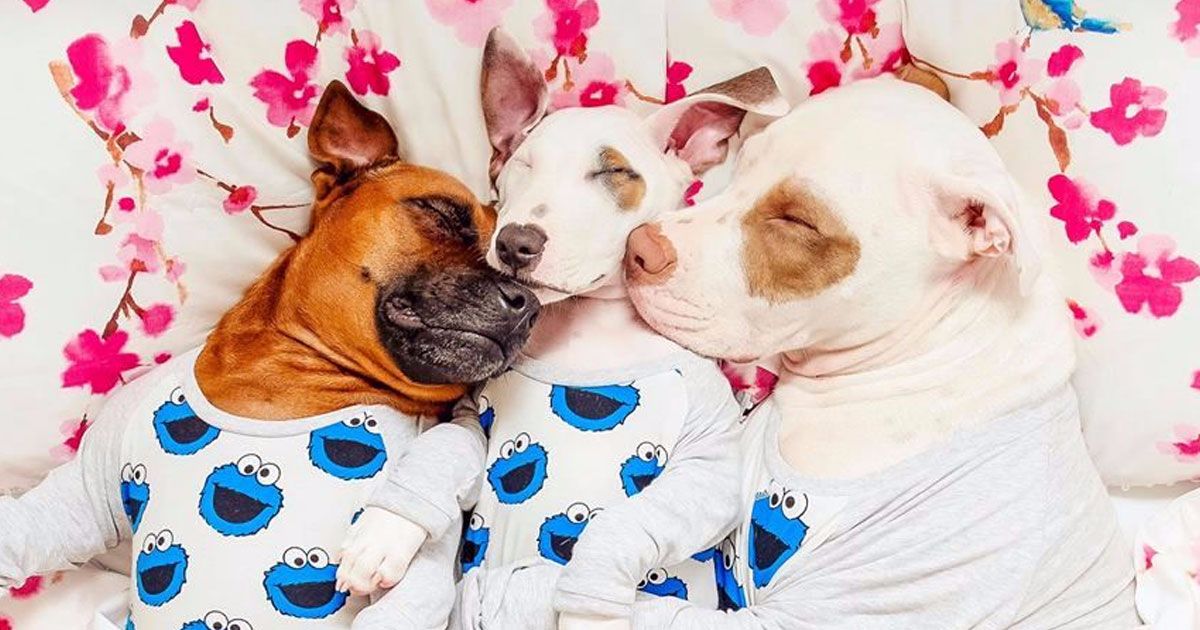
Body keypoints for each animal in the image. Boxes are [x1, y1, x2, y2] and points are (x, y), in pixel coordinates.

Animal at [0, 81, 536, 630]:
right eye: (441, 213)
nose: (530, 304)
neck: (295, 377)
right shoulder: (99, 467)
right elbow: (58, 513)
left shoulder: (456, 432)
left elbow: (450, 449)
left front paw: (382, 537)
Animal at [337, 29, 789, 630]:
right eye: (521, 165)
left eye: (614, 173)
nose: (515, 243)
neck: (587, 327)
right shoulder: (469, 412)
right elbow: (444, 445)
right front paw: (385, 534)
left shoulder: (711, 458)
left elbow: (624, 522)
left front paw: (591, 594)